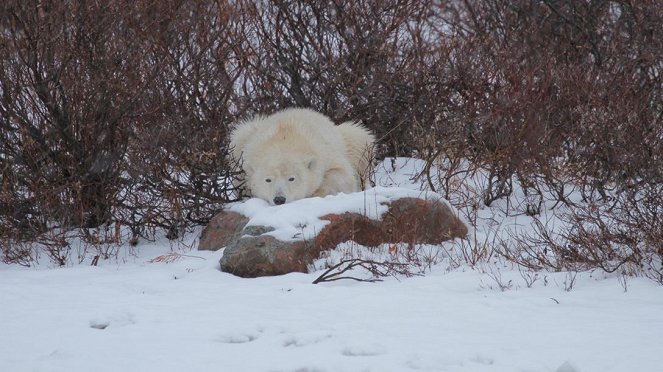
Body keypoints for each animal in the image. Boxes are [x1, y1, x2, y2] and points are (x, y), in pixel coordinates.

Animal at [228, 107, 374, 205]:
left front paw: (316, 193)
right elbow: (240, 185)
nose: (279, 199)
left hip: (350, 141)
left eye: (291, 178)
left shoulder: (324, 152)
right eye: (268, 180)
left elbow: (342, 174)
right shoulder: (243, 161)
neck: (284, 140)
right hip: (241, 138)